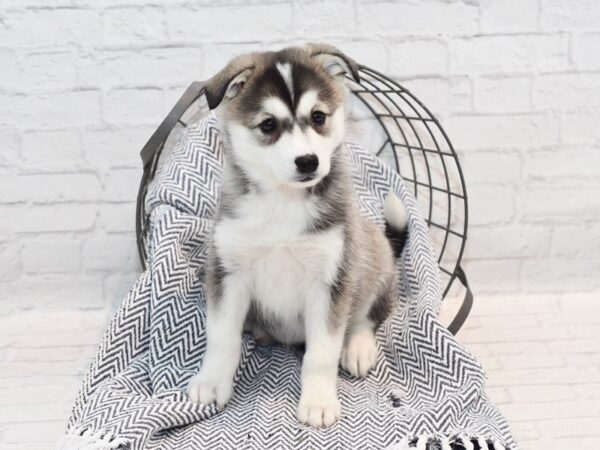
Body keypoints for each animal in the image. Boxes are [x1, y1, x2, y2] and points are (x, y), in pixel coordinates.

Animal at [188, 44, 408, 428]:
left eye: (318, 117)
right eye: (268, 124)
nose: (308, 161)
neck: (283, 203)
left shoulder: (330, 281)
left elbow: (321, 352)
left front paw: (318, 400)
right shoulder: (227, 273)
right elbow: (221, 337)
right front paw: (212, 381)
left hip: (372, 262)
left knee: (365, 317)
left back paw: (358, 347)